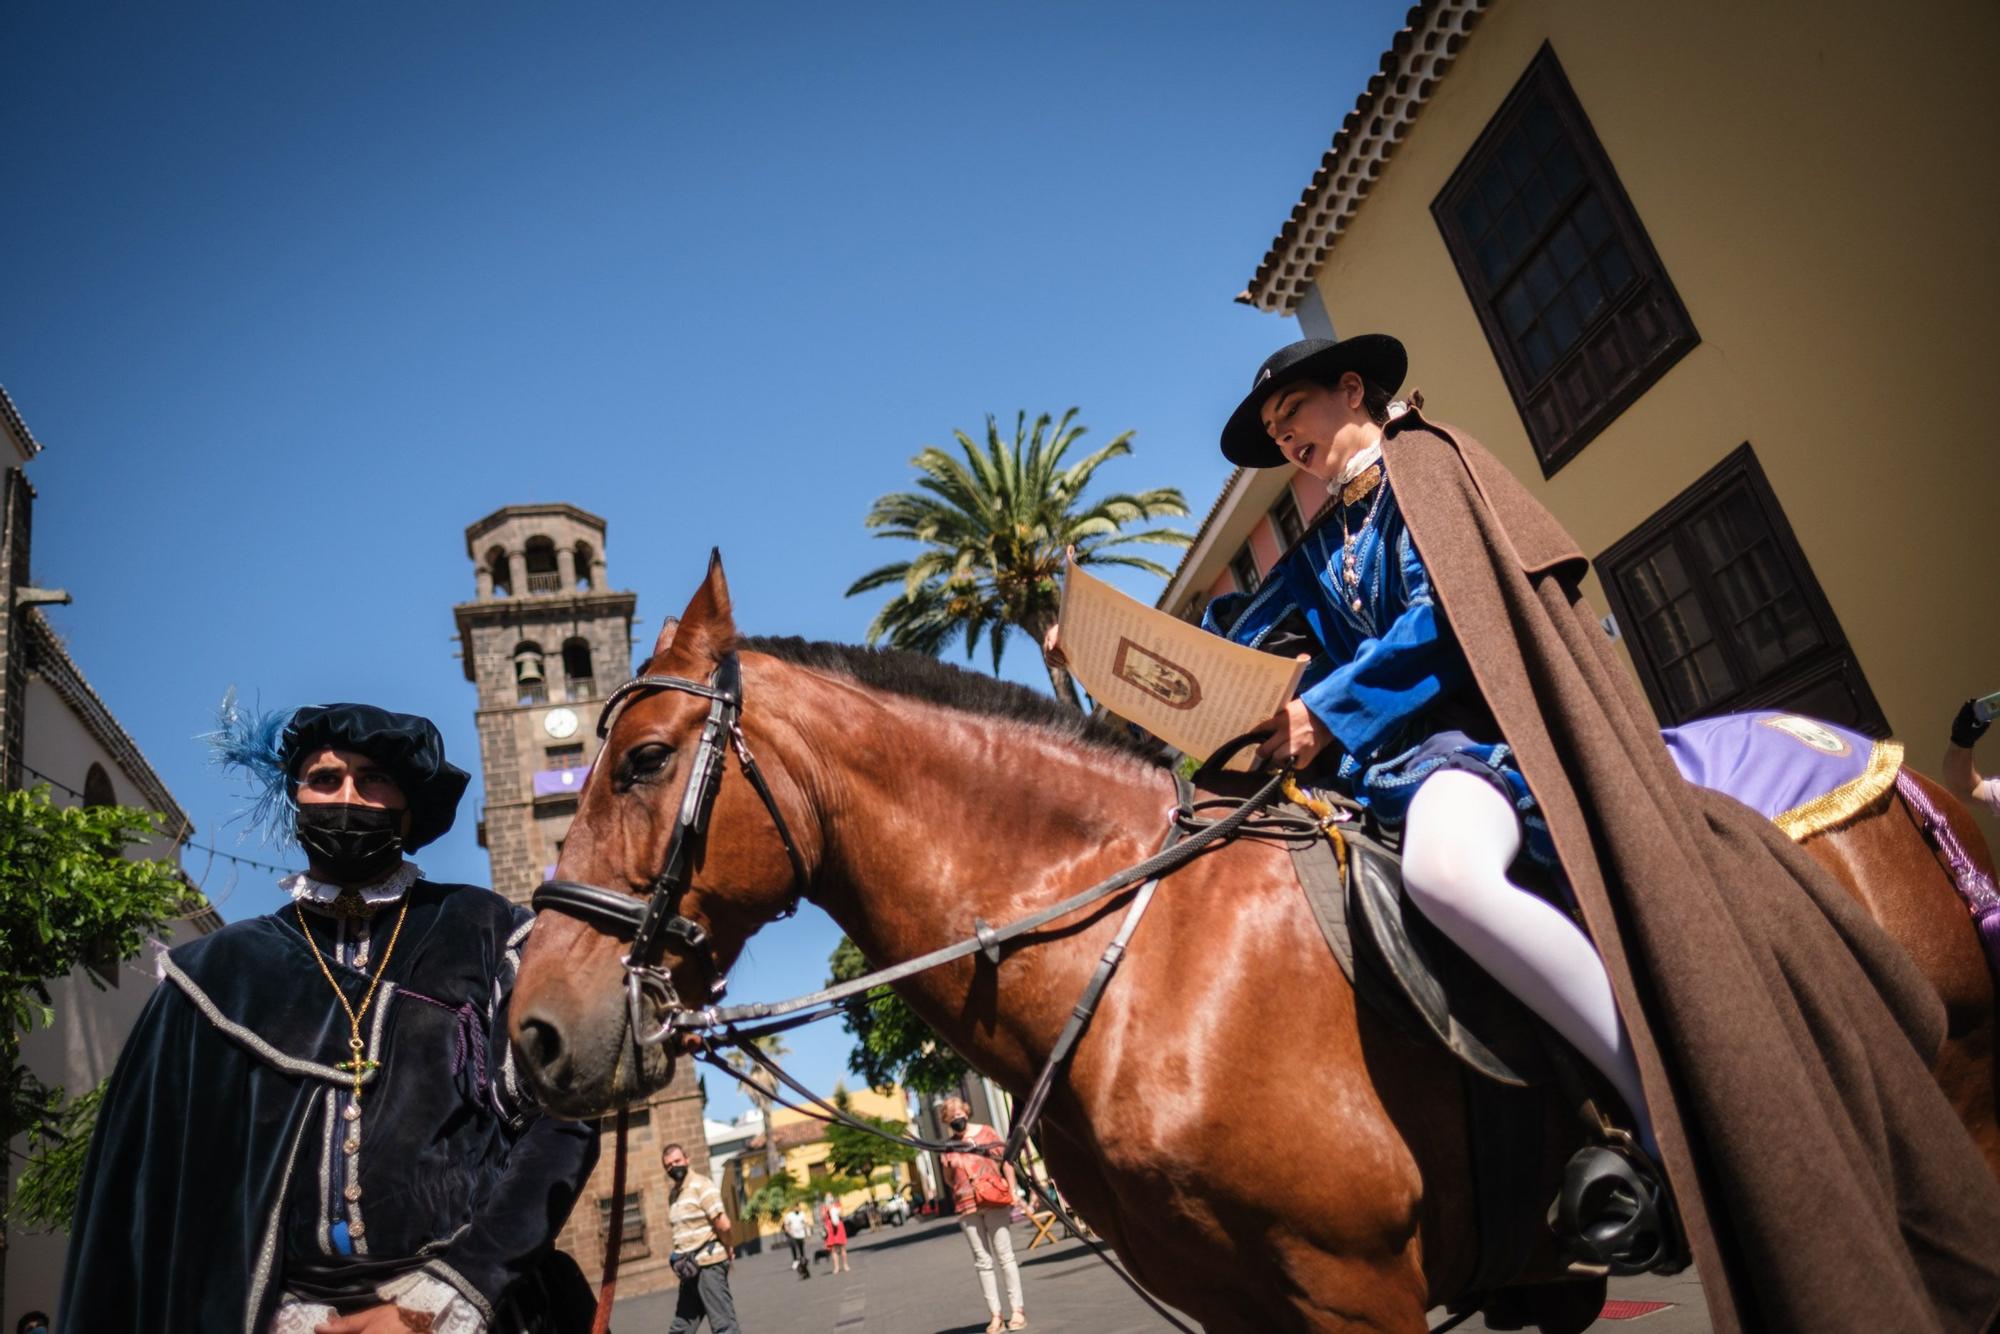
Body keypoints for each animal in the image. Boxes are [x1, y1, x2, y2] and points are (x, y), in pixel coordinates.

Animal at [508, 560, 2000, 1328]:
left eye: (644, 759)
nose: (536, 1029)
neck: (1151, 958)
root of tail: (1854, 755)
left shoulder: (1355, 1294)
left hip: (1957, 1089)